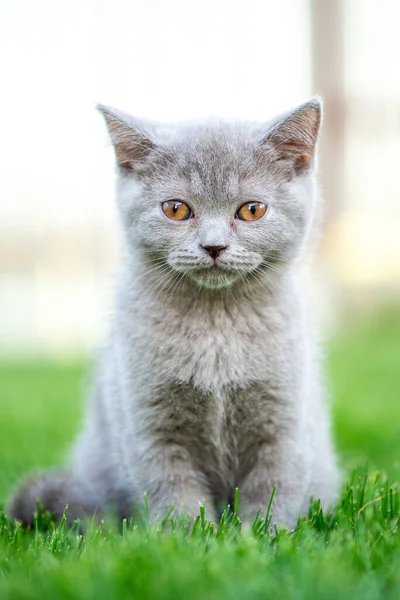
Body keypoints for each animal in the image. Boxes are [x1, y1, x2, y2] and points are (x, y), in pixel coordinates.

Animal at [8, 98, 338, 528]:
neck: (216, 327)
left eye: (252, 210)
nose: (213, 246)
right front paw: (192, 537)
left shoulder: (284, 427)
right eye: (177, 209)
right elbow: (174, 496)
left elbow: (272, 493)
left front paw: (263, 535)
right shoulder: (150, 429)